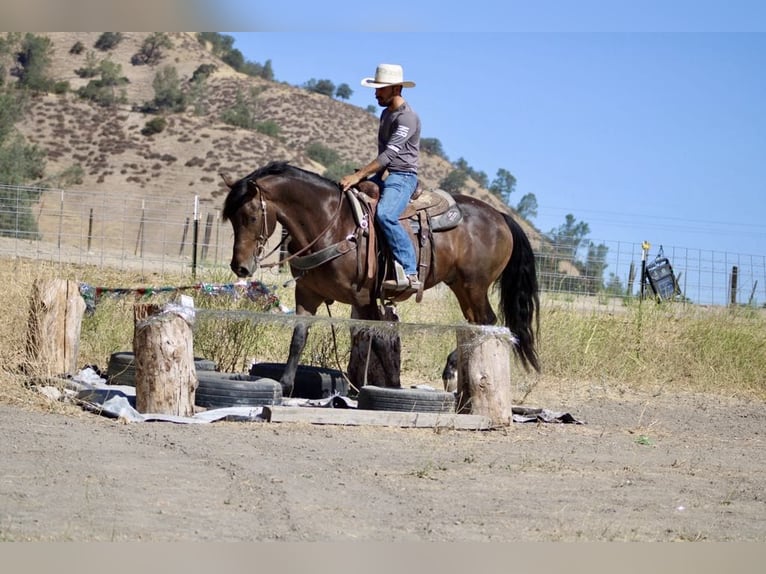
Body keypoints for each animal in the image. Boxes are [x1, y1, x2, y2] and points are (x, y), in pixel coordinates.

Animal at [221, 160, 540, 393]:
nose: (240, 267)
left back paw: (450, 370)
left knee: (487, 322)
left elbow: (379, 343)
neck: (332, 224)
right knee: (477, 322)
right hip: (460, 285)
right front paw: (286, 386)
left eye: (250, 216)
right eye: (231, 218)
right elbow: (299, 337)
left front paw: (384, 389)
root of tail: (500, 216)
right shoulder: (307, 294)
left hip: (475, 285)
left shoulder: (365, 297)